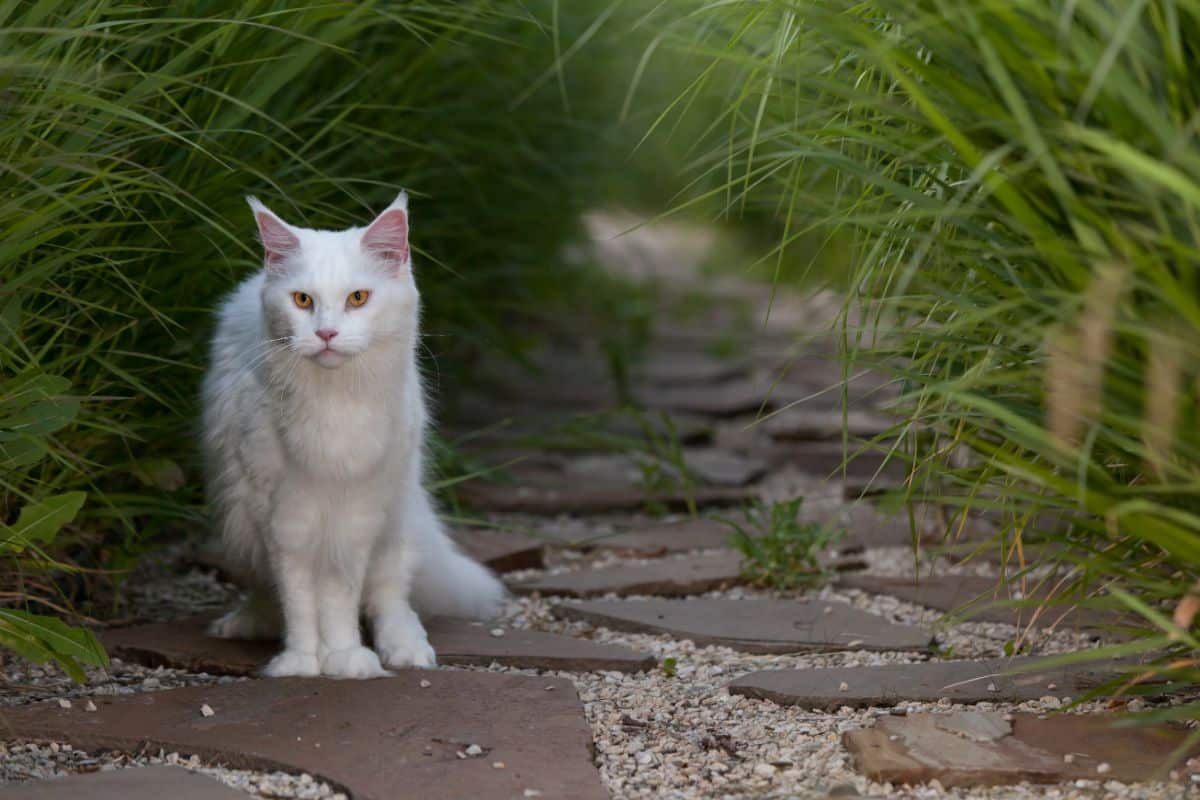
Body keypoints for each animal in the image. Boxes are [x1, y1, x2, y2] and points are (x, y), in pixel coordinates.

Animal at [204, 190, 504, 681]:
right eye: (302, 300)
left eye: (358, 298)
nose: (326, 333)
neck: (333, 404)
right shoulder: (282, 516)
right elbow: (298, 596)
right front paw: (301, 660)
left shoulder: (355, 514)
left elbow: (339, 596)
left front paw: (345, 658)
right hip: (241, 520)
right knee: (266, 587)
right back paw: (249, 622)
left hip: (395, 515)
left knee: (391, 594)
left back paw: (406, 648)